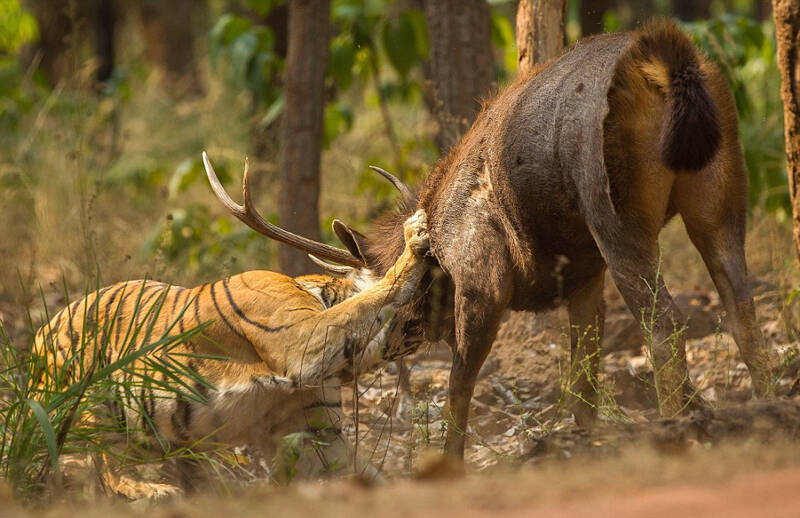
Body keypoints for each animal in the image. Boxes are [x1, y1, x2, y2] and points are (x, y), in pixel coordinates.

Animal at [29, 155, 432, 504]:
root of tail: (38, 337)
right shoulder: (302, 343)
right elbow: (373, 295)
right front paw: (414, 237)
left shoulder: (316, 434)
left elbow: (376, 476)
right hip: (88, 401)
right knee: (99, 464)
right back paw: (156, 491)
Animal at [233, 19, 776, 464]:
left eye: (386, 300)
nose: (364, 358)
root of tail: (666, 60)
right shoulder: (583, 273)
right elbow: (582, 382)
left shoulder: (484, 279)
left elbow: (459, 386)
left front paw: (448, 465)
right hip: (721, 196)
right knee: (742, 310)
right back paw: (766, 411)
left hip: (615, 214)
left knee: (665, 325)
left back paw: (679, 429)